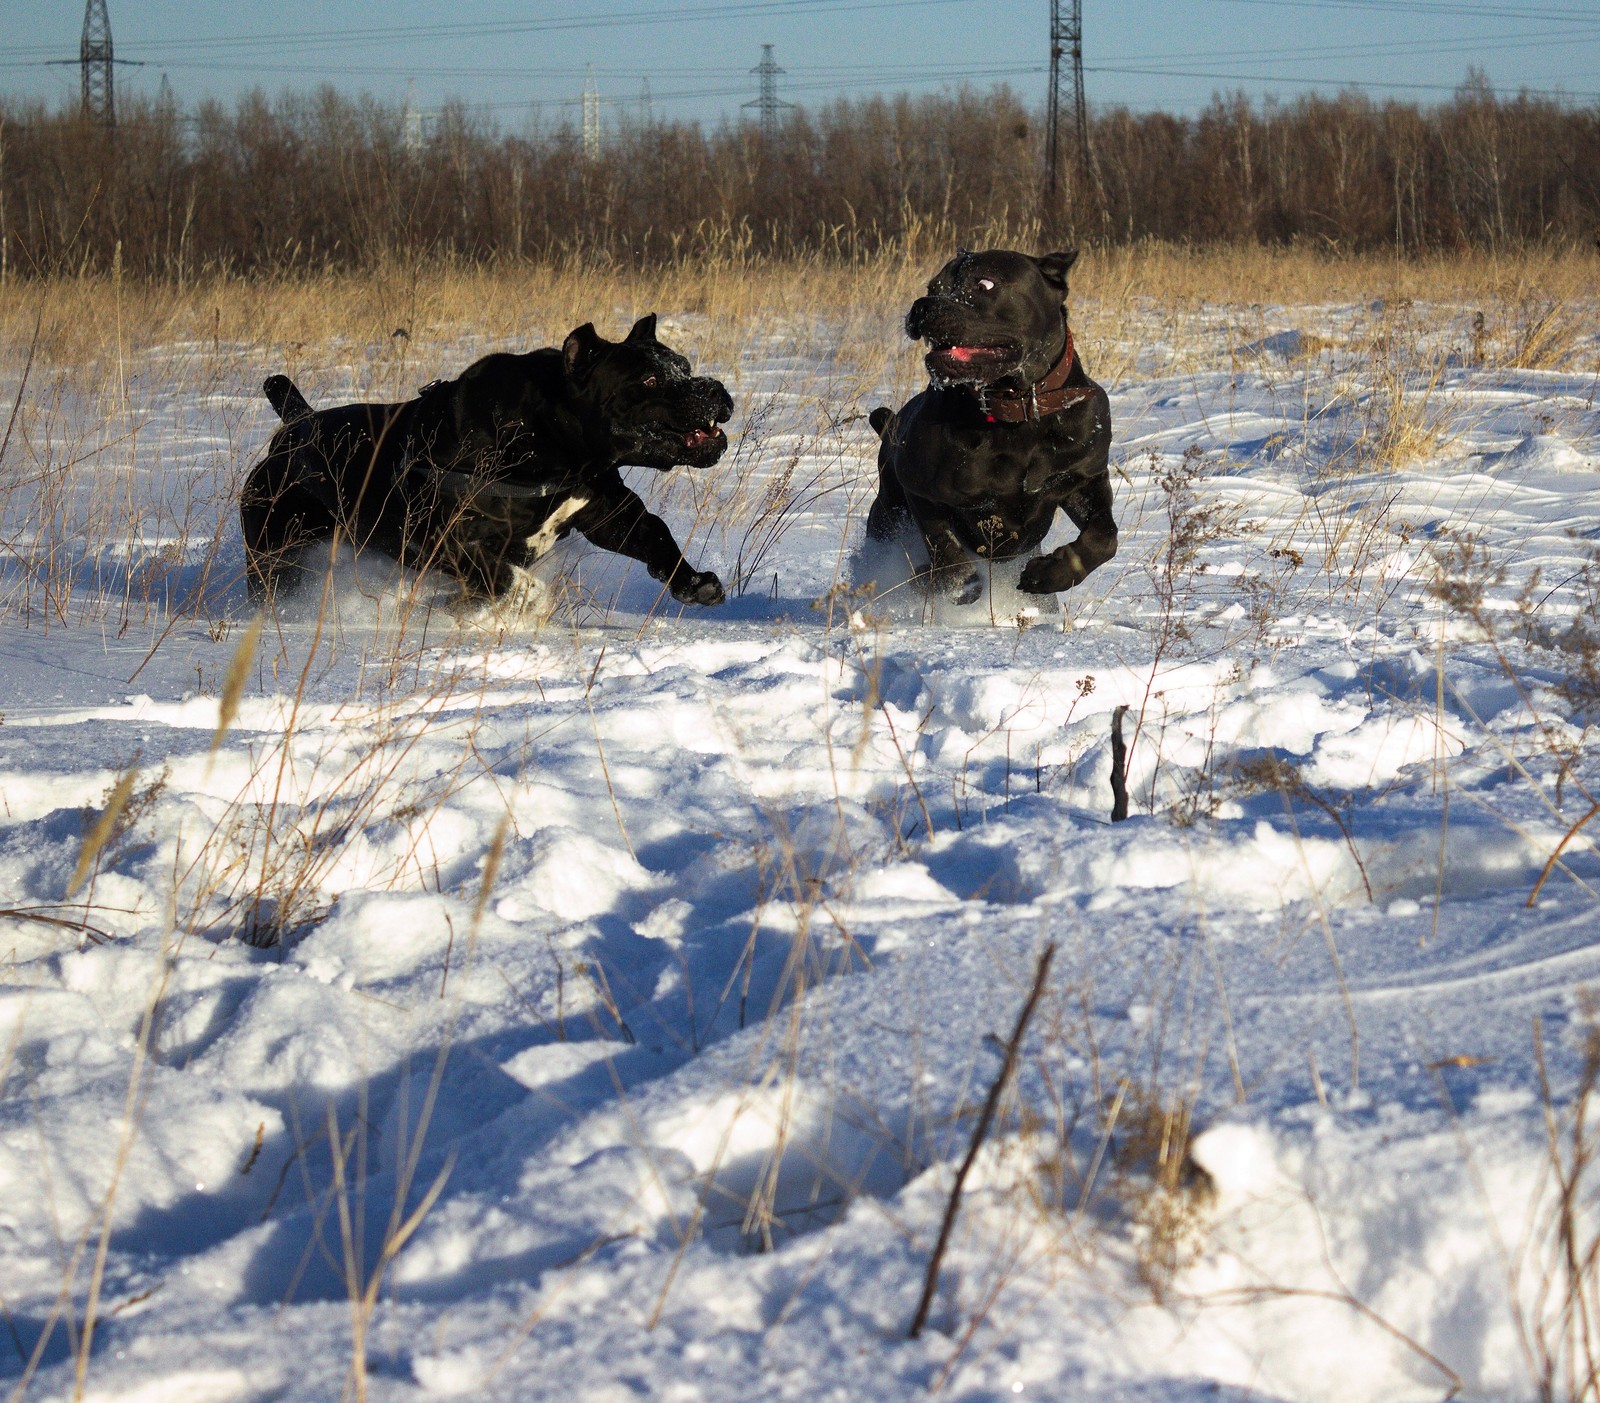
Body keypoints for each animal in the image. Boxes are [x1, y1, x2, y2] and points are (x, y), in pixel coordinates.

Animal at [240, 316, 732, 607]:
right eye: (648, 380)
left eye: (685, 367)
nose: (715, 389)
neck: (556, 450)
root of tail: (295, 424)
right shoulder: (443, 538)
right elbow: (501, 573)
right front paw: (531, 597)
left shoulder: (611, 512)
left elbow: (657, 537)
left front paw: (695, 582)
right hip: (275, 552)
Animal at [864, 251, 1113, 601]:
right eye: (933, 286)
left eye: (984, 284)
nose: (923, 305)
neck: (1018, 412)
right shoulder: (918, 485)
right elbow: (943, 544)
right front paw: (953, 582)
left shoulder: (1086, 479)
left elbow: (1104, 536)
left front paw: (1050, 574)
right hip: (887, 516)